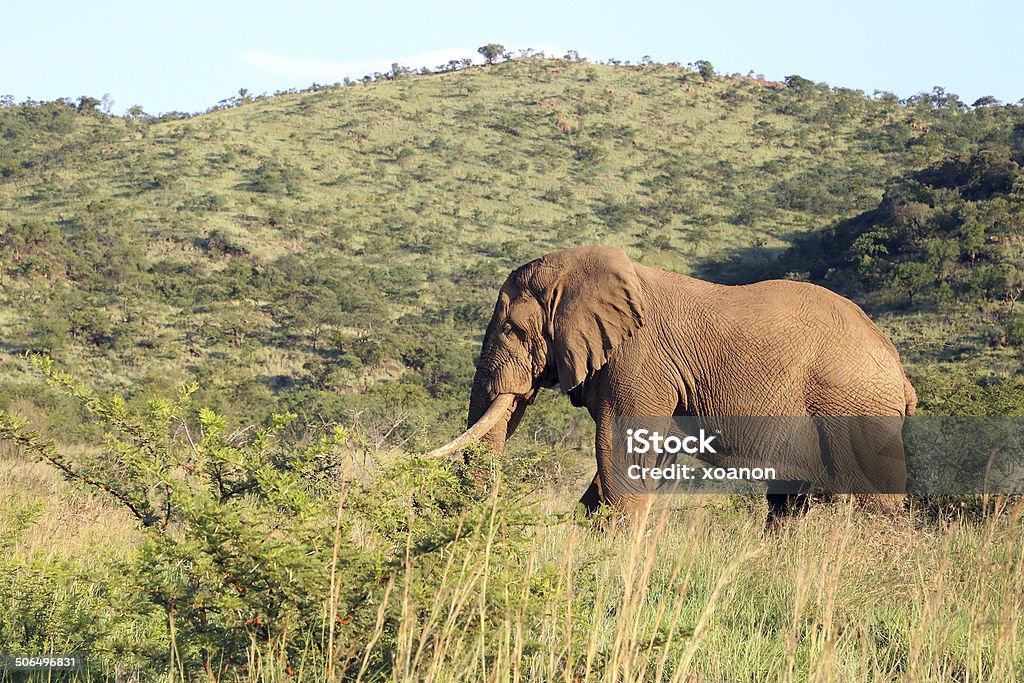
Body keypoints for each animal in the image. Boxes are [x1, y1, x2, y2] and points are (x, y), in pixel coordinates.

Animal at [428, 248, 917, 520]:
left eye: (512, 329)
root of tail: (897, 367)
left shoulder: (639, 361)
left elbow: (622, 454)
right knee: (789, 502)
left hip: (856, 407)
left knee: (874, 501)